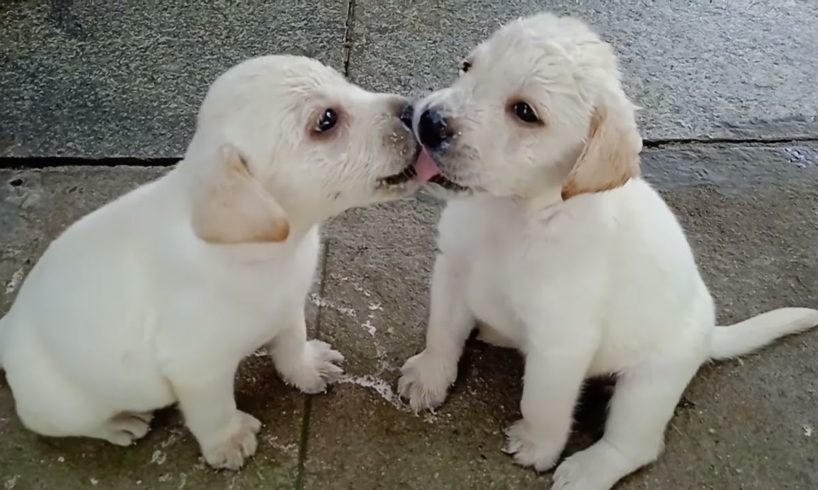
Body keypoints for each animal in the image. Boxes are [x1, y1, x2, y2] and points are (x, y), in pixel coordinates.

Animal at [0, 54, 418, 470]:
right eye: (326, 121)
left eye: (343, 82)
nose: (413, 110)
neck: (262, 251)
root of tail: (9, 328)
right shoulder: (197, 370)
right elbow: (213, 411)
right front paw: (229, 441)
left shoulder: (286, 307)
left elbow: (291, 343)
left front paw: (306, 367)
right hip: (68, 405)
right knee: (60, 422)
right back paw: (120, 424)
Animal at [396, 11, 816, 490]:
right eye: (467, 67)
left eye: (525, 112)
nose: (428, 121)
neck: (513, 212)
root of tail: (710, 334)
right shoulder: (452, 272)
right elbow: (443, 331)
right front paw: (430, 376)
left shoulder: (562, 341)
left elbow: (543, 400)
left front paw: (538, 445)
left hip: (649, 385)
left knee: (636, 445)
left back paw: (588, 469)